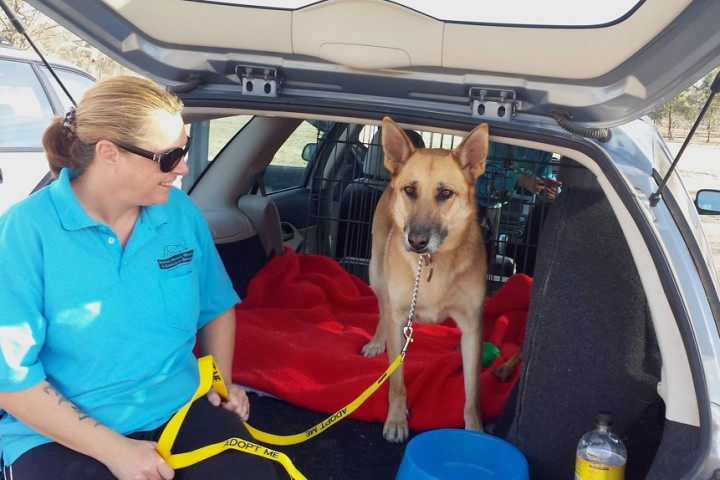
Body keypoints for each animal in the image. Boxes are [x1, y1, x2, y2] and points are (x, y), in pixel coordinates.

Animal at [360, 116, 490, 442]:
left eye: (445, 194)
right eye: (410, 190)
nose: (416, 242)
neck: (432, 263)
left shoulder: (472, 326)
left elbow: (472, 391)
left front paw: (475, 430)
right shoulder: (398, 318)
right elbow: (397, 381)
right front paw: (396, 419)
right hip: (377, 274)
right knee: (381, 308)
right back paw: (377, 341)